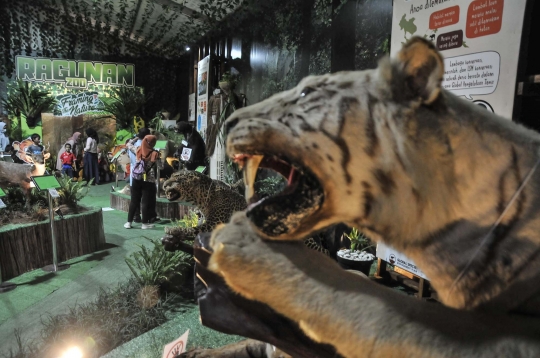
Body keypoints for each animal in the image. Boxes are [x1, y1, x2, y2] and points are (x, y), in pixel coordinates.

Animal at [160, 170, 330, 255]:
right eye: (171, 176)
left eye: (177, 179)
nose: (164, 184)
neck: (202, 199)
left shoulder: (214, 224)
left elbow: (192, 229)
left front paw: (173, 229)